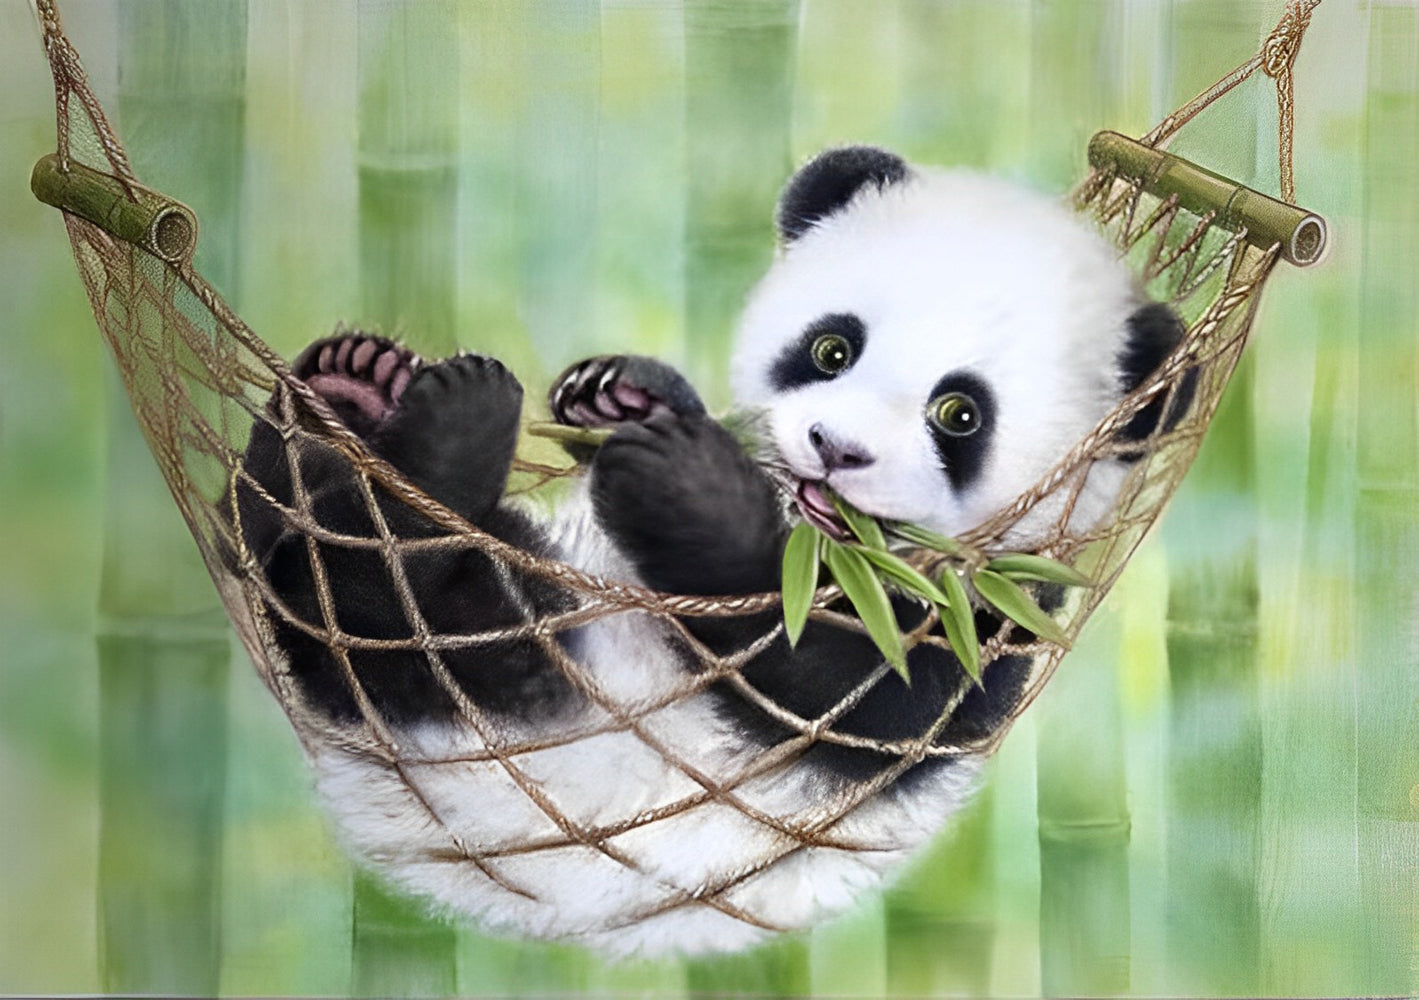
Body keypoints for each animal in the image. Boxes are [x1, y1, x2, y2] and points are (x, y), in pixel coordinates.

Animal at [236, 146, 1185, 956]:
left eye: (959, 413)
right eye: (831, 347)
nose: (833, 450)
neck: (824, 545)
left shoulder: (976, 632)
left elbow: (827, 685)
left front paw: (685, 485)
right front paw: (623, 395)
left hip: (516, 677)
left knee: (374, 609)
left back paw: (439, 445)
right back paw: (347, 392)